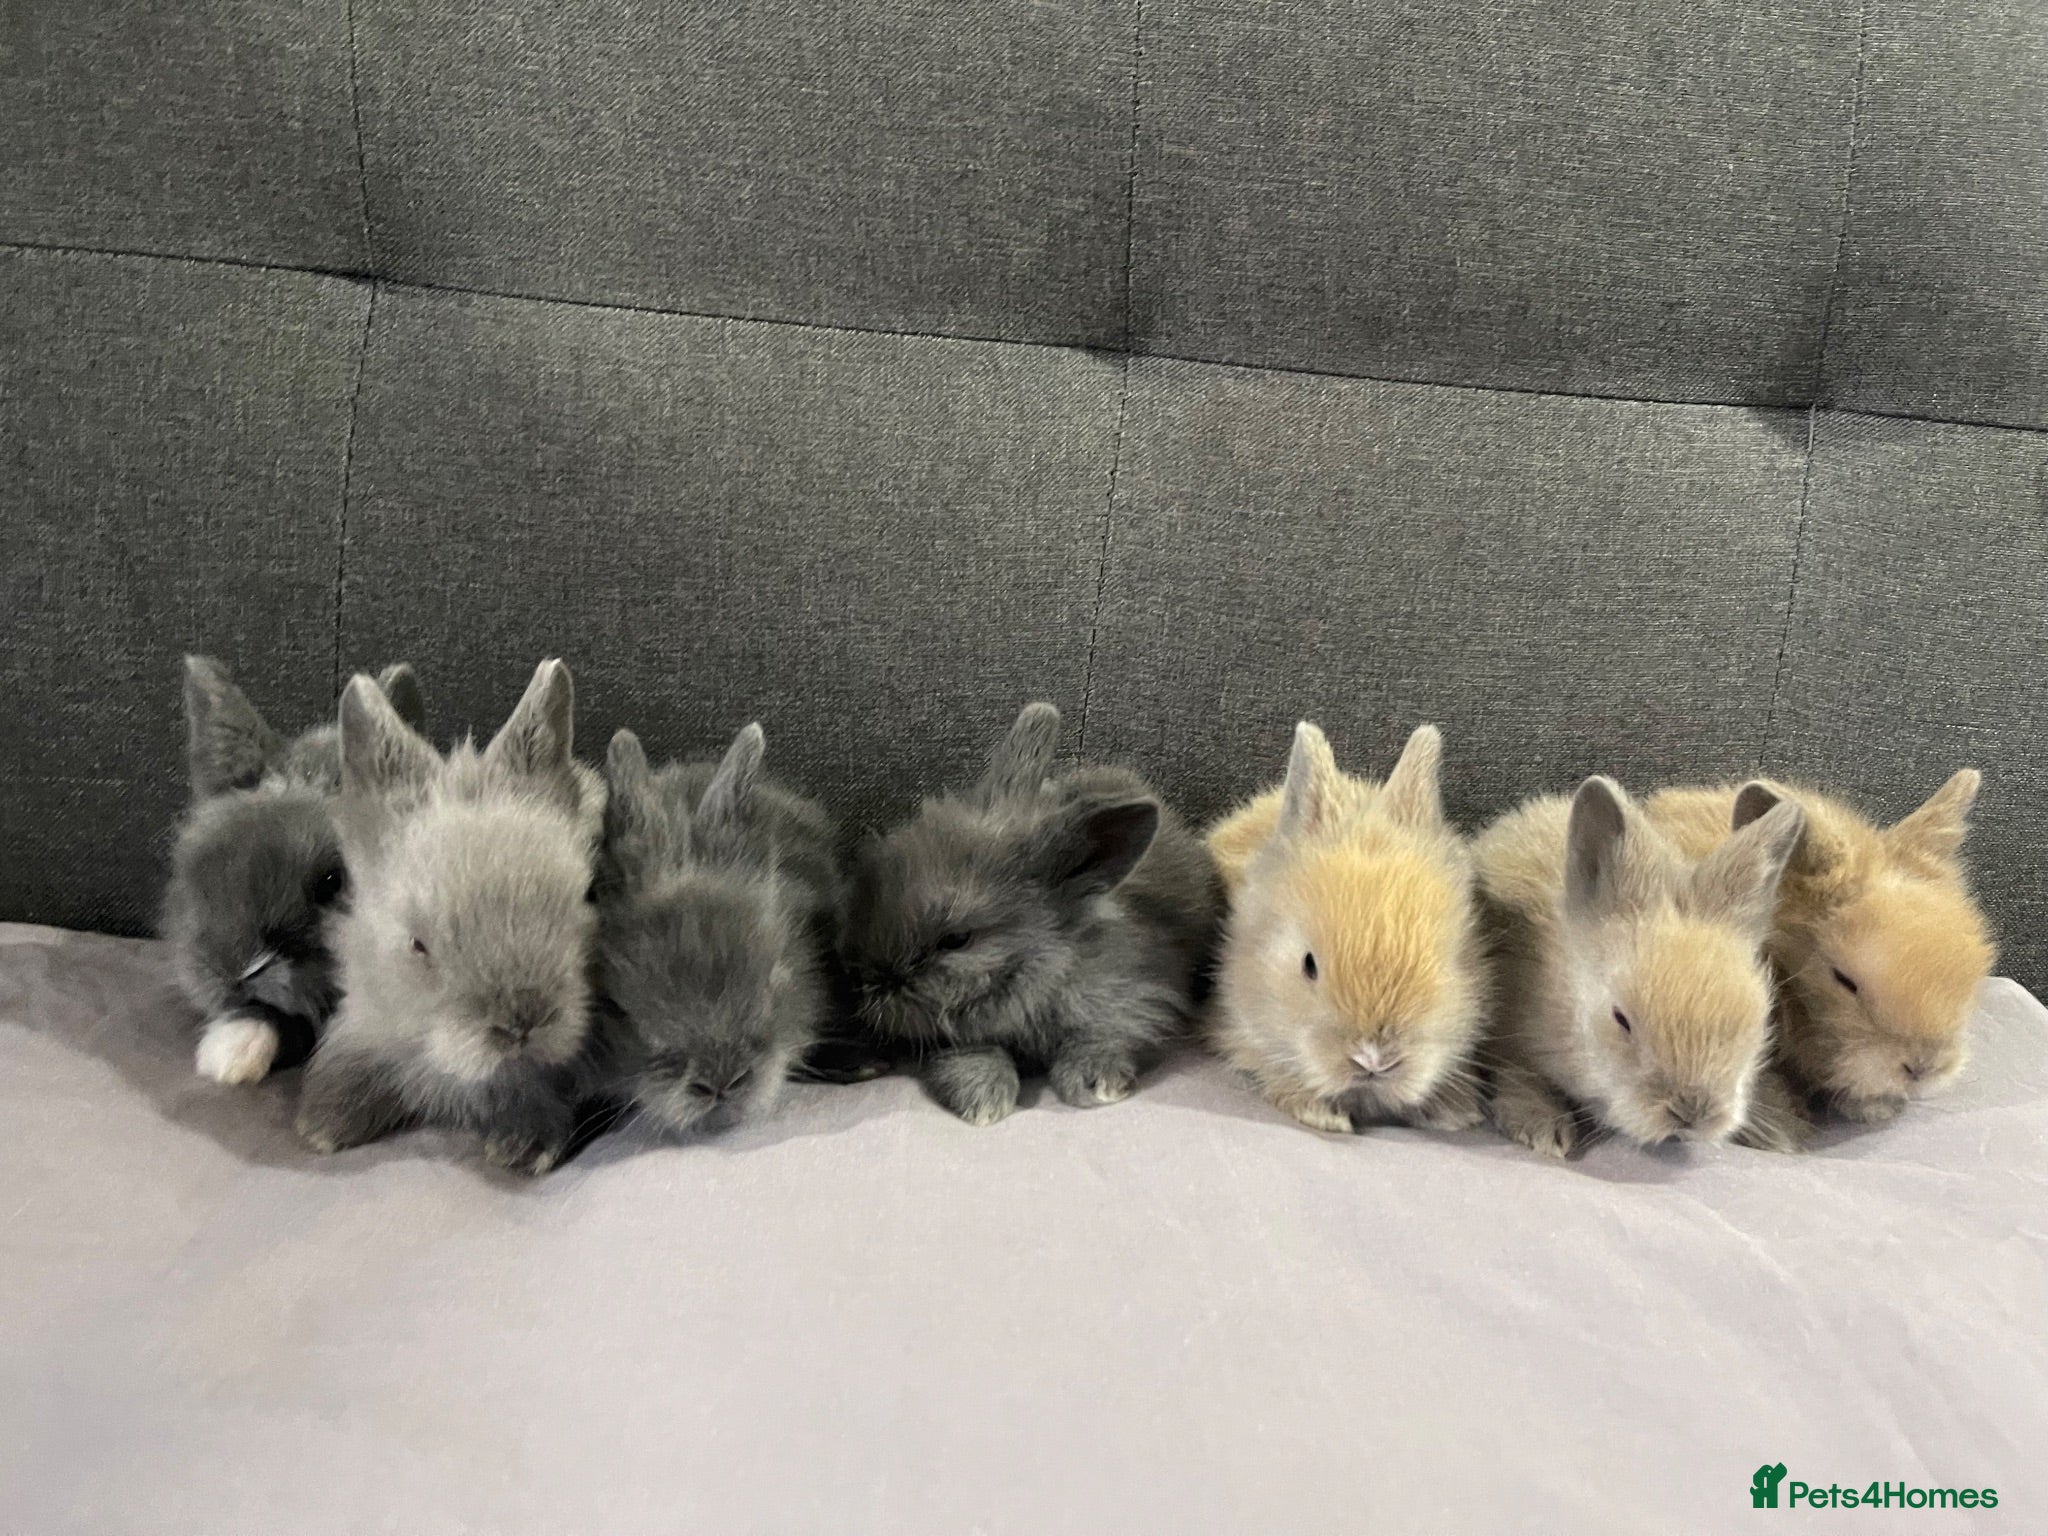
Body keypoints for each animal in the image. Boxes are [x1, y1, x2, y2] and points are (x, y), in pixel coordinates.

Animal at [841, 702, 1222, 1126]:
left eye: (956, 939)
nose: (865, 982)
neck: (1043, 970)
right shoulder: (960, 1039)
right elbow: (976, 1055)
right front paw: (983, 1101)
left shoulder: (1138, 1000)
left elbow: (1104, 1037)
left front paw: (1096, 1085)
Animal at [1473, 776, 1808, 1157]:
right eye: (1620, 1019)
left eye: (1760, 1020)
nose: (1692, 1114)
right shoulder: (1510, 1036)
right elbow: (1519, 1076)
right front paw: (1543, 1131)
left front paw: (1782, 1131)